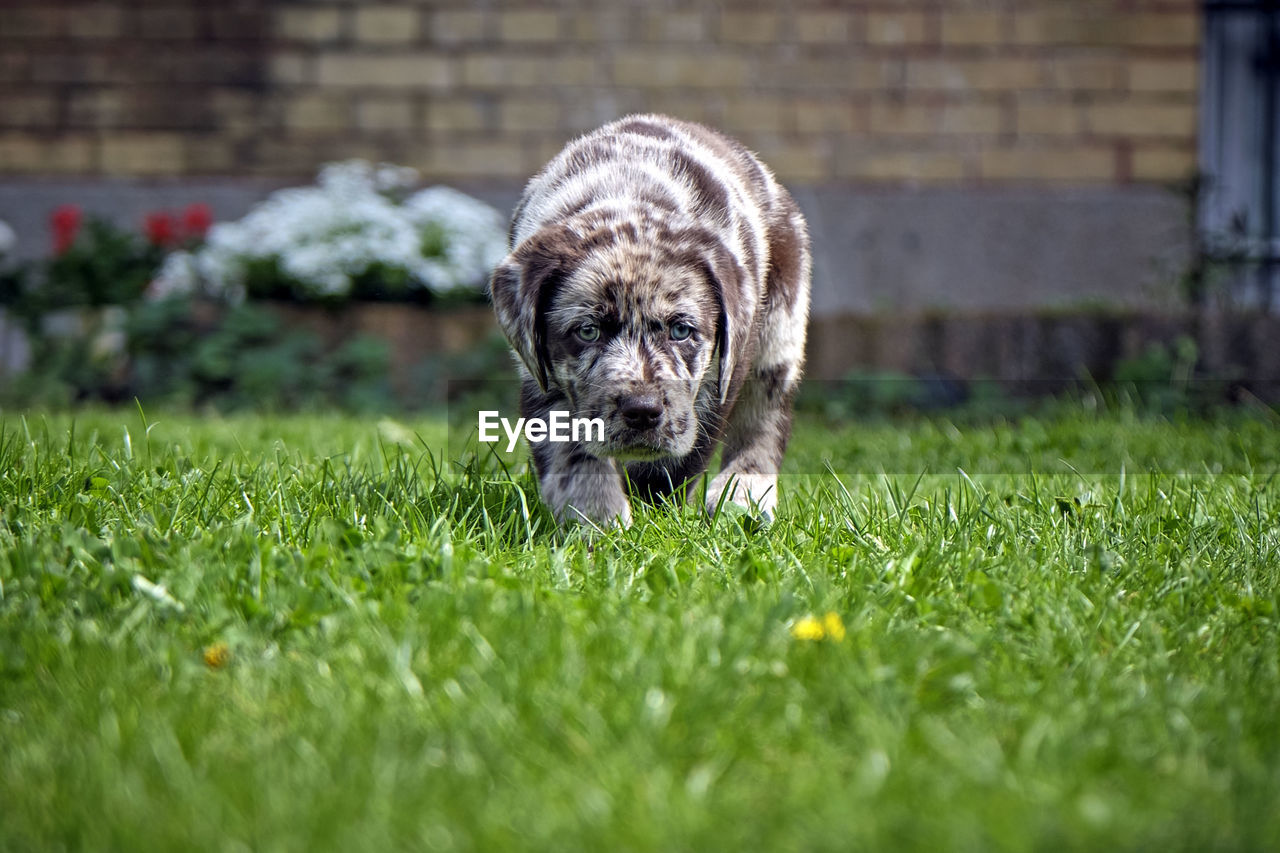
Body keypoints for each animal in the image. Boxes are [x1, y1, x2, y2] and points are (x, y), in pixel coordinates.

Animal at [488, 112, 808, 525]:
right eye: (588, 332)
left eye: (681, 330)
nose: (642, 411)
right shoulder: (542, 378)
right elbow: (573, 457)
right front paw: (598, 520)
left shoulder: (718, 380)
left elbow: (678, 460)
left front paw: (654, 513)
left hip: (779, 332)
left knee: (763, 419)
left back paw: (744, 498)